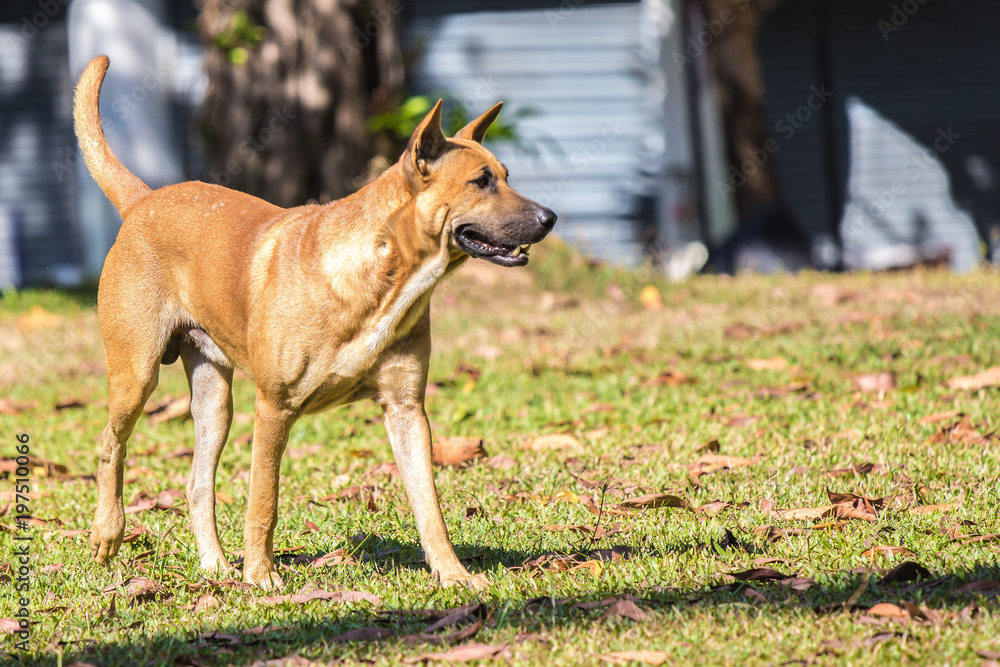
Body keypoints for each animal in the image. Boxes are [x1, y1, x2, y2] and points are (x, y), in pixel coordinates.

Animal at [74, 56, 556, 588]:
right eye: (481, 182)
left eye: (506, 176)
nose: (550, 217)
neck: (384, 277)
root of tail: (143, 201)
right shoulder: (274, 408)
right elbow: (263, 502)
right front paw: (261, 577)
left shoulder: (407, 409)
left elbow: (430, 507)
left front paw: (454, 576)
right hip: (137, 373)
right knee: (110, 443)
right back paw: (108, 534)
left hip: (214, 400)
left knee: (198, 484)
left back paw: (215, 566)